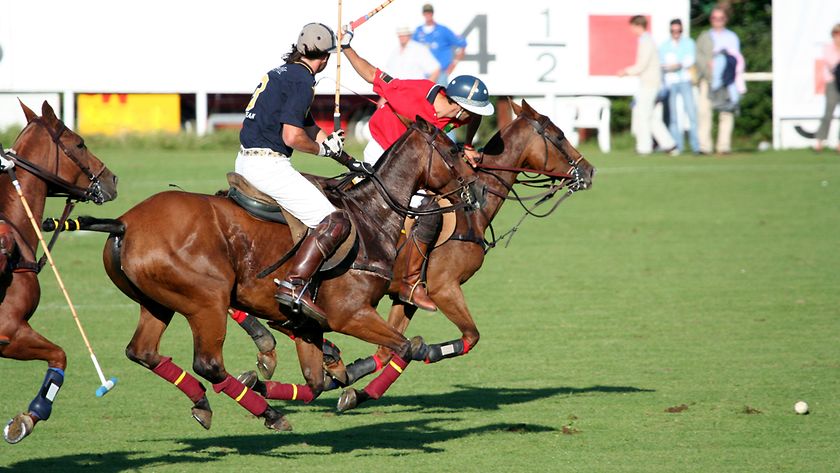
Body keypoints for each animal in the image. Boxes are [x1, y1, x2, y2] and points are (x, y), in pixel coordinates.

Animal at [85, 118, 482, 432]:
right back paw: (269, 413)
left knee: (142, 352)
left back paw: (207, 401)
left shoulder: (308, 326)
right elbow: (406, 347)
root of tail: (124, 224)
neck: (372, 216)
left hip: (157, 302)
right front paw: (360, 386)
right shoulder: (351, 314)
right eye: (453, 149)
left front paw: (274, 381)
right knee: (208, 363)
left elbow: (317, 381)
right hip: (206, 301)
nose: (476, 190)